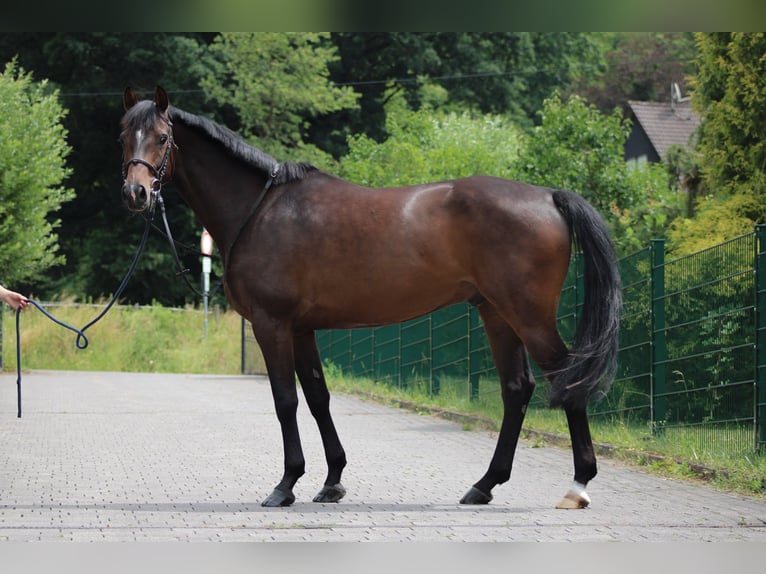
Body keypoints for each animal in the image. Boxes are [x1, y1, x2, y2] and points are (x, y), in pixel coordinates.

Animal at [119, 86, 621, 509]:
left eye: (162, 137)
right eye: (124, 135)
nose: (136, 193)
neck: (260, 210)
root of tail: (549, 196)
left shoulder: (272, 324)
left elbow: (286, 401)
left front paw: (285, 485)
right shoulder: (302, 329)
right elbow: (318, 397)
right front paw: (331, 481)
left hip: (528, 316)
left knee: (567, 381)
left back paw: (577, 486)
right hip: (496, 314)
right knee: (517, 389)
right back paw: (484, 485)